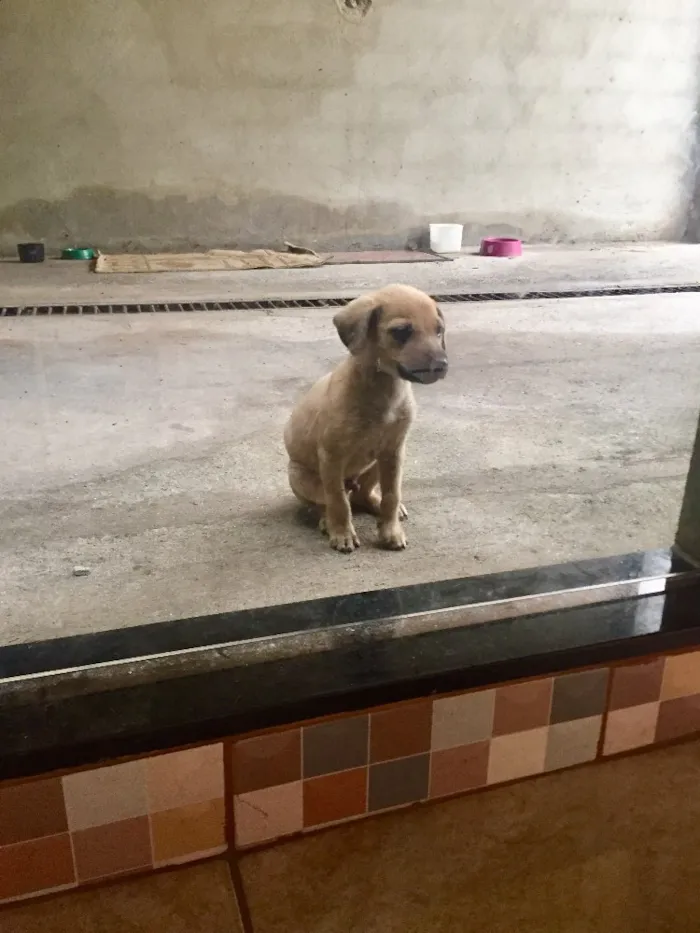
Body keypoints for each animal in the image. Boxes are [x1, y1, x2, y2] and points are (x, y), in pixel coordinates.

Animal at [284, 280, 448, 548]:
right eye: (401, 331)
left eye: (439, 331)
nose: (442, 365)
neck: (383, 388)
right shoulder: (331, 456)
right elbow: (338, 501)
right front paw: (342, 533)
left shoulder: (394, 451)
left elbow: (392, 494)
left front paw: (390, 531)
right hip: (302, 478)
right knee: (325, 502)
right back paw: (327, 522)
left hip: (374, 466)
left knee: (363, 494)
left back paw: (379, 505)